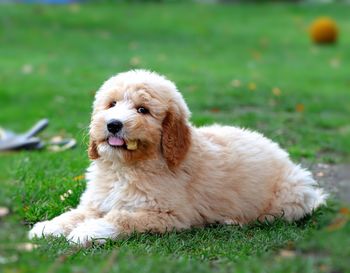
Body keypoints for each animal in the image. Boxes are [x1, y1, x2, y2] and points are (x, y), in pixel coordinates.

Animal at [28, 68, 326, 244]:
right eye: (111, 104)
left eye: (142, 110)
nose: (113, 124)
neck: (125, 168)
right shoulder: (96, 202)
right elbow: (75, 213)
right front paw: (49, 227)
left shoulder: (168, 214)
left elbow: (121, 217)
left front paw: (89, 231)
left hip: (292, 191)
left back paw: (234, 220)